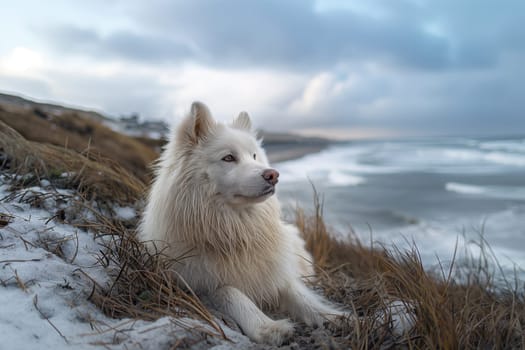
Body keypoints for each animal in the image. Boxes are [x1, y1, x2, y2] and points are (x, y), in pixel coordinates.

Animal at [138, 102, 344, 344]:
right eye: (228, 158)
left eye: (254, 156)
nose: (273, 175)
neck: (235, 231)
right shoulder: (197, 285)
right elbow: (232, 293)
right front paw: (267, 327)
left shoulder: (276, 271)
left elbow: (300, 295)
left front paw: (333, 316)